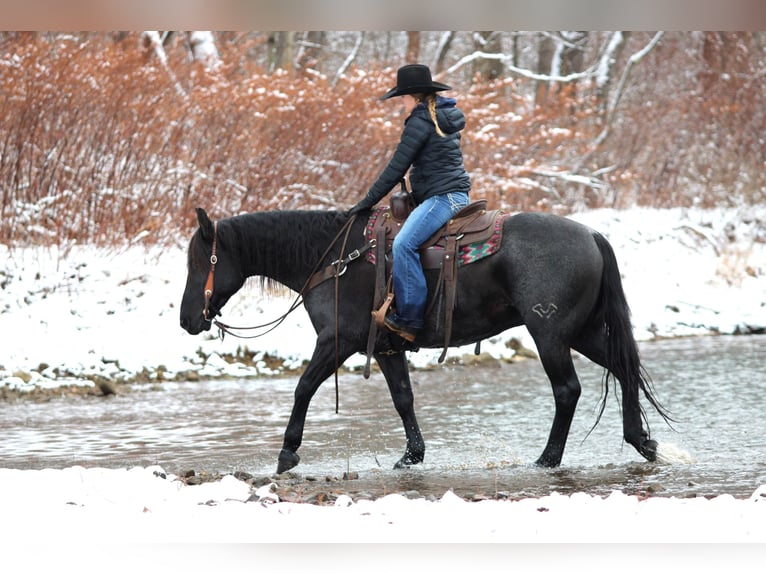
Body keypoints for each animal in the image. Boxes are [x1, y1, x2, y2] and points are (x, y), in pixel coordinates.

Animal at [180, 206, 672, 474]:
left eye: (200, 261)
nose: (187, 321)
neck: (334, 259)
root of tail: (592, 234)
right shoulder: (385, 346)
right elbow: (403, 398)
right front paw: (411, 457)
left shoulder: (338, 340)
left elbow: (303, 387)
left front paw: (287, 452)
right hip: (582, 331)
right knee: (624, 369)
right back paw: (642, 441)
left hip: (549, 333)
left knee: (568, 390)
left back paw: (547, 459)